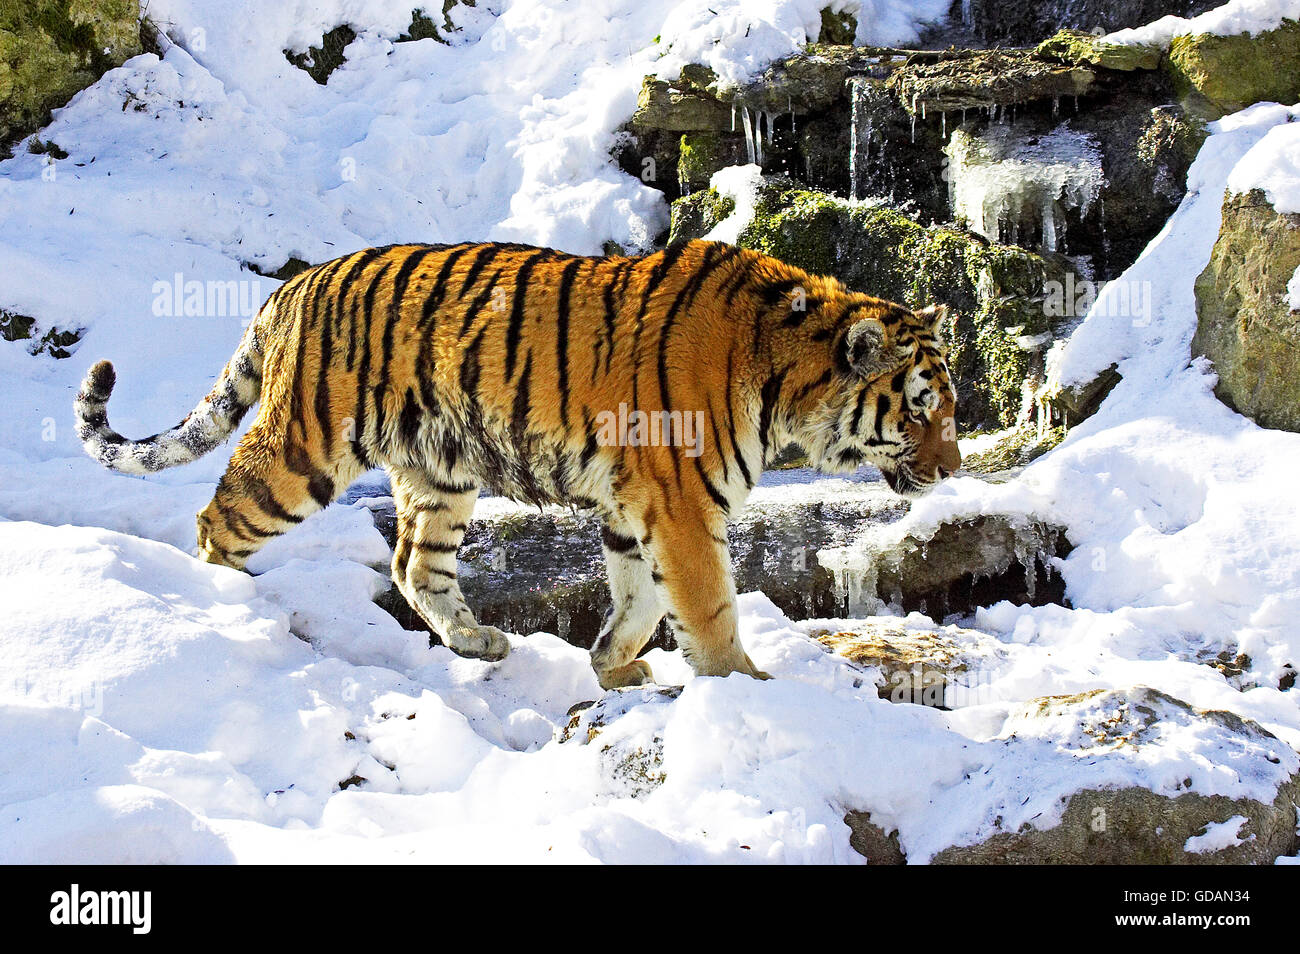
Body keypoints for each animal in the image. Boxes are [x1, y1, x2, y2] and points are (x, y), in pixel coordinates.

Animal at [76, 239, 961, 686]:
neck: (784, 370)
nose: (953, 470)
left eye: (952, 410)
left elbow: (640, 600)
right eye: (921, 408)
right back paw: (228, 606)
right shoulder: (682, 503)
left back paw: (480, 644)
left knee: (413, 565)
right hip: (304, 447)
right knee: (216, 520)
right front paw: (745, 686)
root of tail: (289, 288)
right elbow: (707, 606)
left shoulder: (636, 505)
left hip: (440, 471)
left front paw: (611, 668)